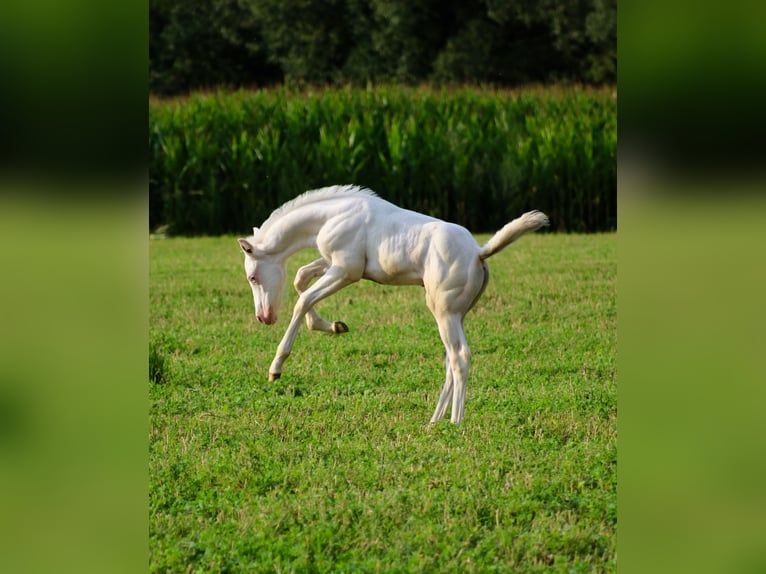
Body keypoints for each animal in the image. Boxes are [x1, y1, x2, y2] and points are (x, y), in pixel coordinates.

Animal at [237, 184, 548, 424]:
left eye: (252, 277)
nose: (264, 317)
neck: (333, 215)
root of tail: (478, 253)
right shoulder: (332, 263)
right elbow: (300, 277)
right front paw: (334, 326)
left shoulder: (346, 271)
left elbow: (303, 299)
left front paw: (276, 368)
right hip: (456, 315)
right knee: (450, 360)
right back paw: (433, 422)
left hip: (445, 313)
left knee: (459, 357)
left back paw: (455, 424)